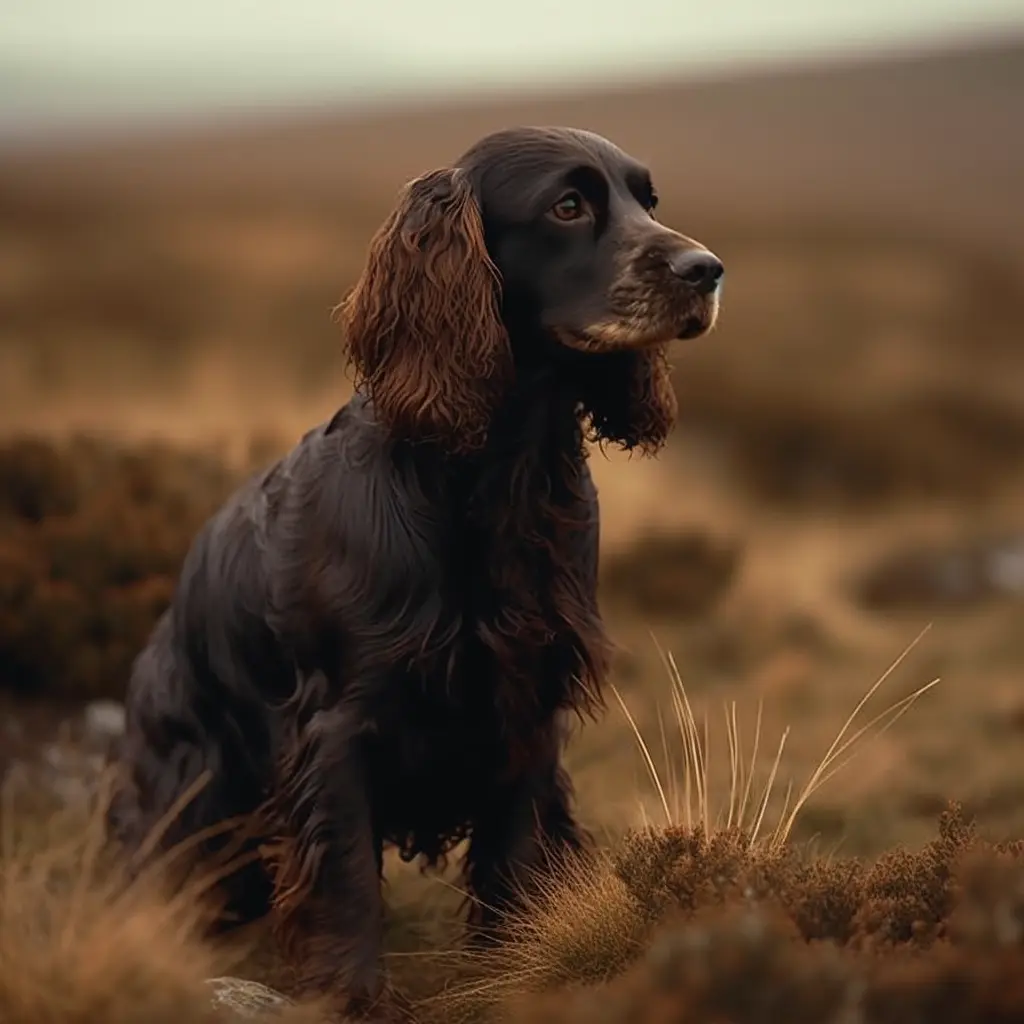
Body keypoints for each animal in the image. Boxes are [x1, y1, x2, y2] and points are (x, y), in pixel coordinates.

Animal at [108, 125, 724, 1015]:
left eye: (649, 200)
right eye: (569, 206)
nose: (706, 270)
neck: (496, 475)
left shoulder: (526, 709)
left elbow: (515, 858)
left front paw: (509, 974)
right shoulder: (338, 727)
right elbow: (345, 880)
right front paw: (356, 997)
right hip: (189, 795)